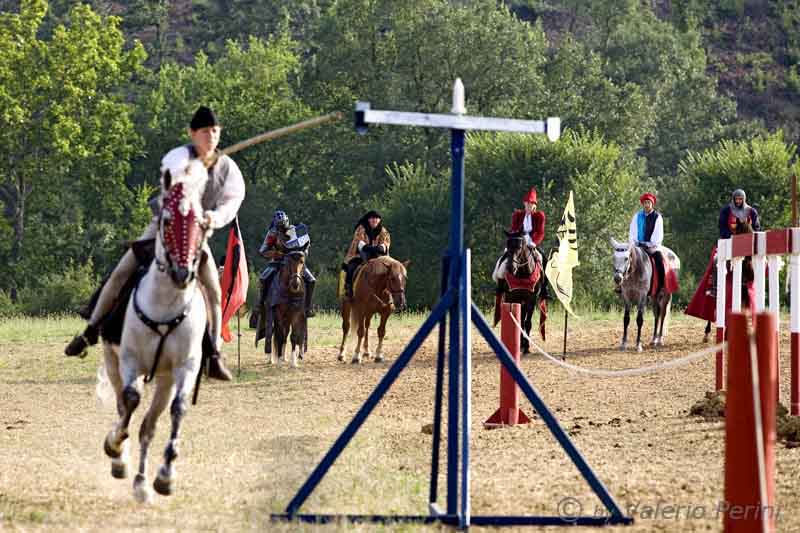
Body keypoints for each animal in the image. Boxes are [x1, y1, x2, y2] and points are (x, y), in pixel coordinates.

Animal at [99, 153, 211, 502]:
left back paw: (141, 483)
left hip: (163, 380)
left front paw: (165, 476)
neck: (165, 303)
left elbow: (178, 410)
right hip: (113, 362)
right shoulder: (129, 360)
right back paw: (121, 461)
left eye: (201, 224)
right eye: (166, 221)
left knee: (148, 426)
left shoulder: (185, 367)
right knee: (123, 405)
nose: (182, 273)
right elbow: (130, 400)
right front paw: (114, 446)